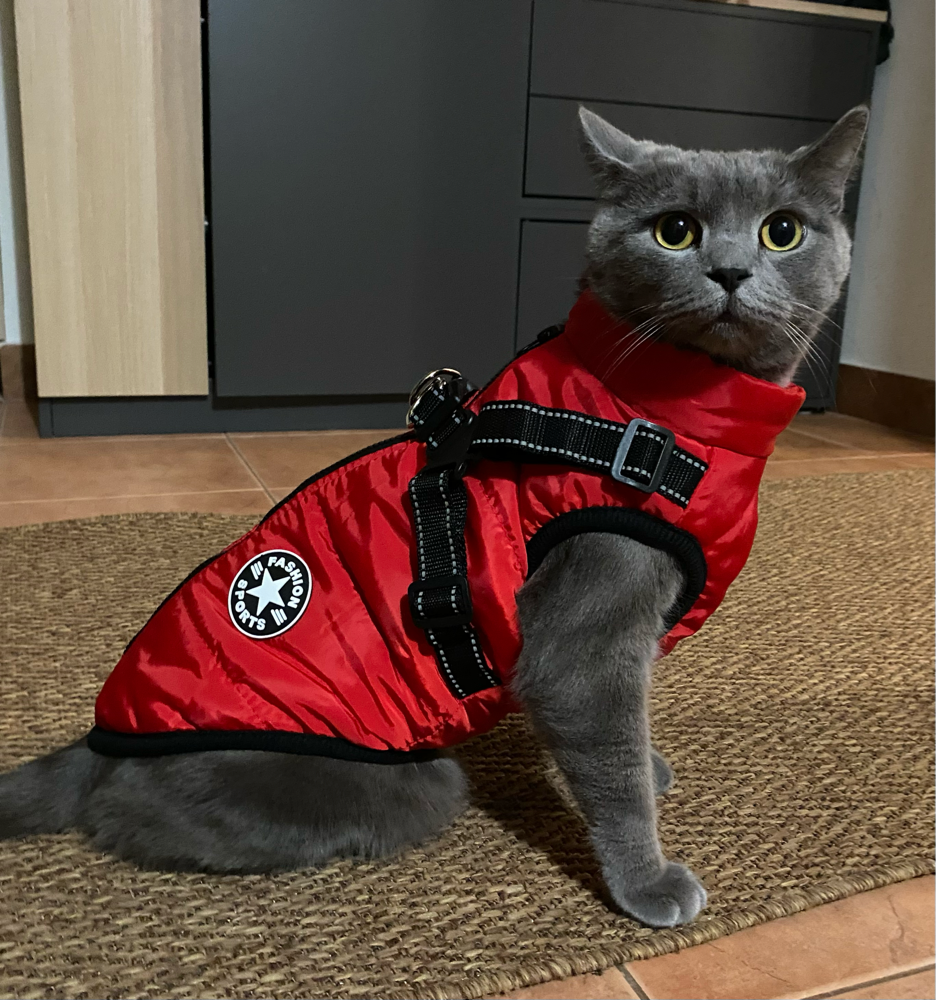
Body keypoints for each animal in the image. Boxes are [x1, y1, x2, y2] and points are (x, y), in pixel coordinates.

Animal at [0, 105, 867, 928]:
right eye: (674, 230)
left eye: (782, 230)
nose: (731, 270)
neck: (673, 417)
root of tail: (100, 739)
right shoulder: (589, 617)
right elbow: (608, 759)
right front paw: (648, 882)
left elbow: (629, 727)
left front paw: (650, 768)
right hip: (396, 781)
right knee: (133, 816)